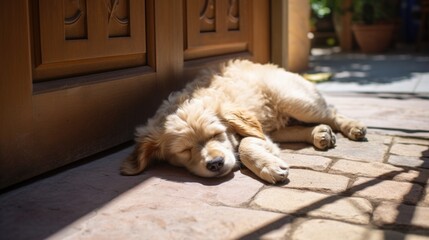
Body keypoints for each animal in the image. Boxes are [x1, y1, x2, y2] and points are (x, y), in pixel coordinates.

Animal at [120, 60, 364, 184]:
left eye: (217, 134)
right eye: (184, 150)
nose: (215, 163)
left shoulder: (252, 130)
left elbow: (245, 144)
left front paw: (268, 166)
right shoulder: (261, 132)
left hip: (294, 100)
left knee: (331, 112)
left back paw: (352, 127)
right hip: (275, 120)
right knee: (291, 128)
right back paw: (319, 134)